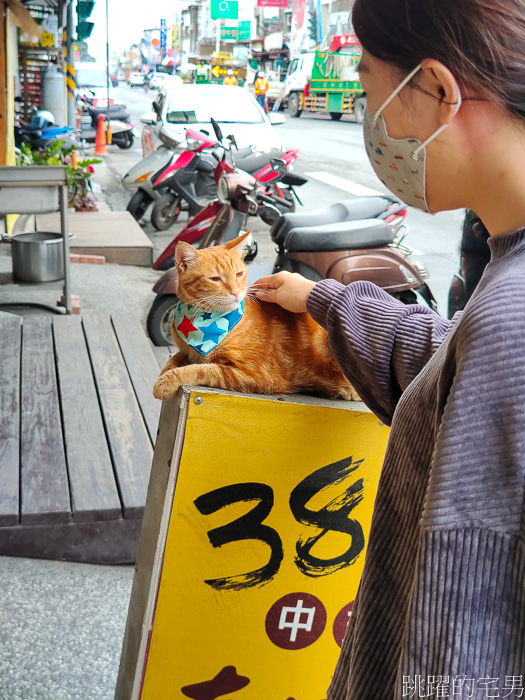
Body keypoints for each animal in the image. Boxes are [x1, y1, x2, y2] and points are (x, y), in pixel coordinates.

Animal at [149, 232, 358, 400]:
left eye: (239, 274)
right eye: (215, 279)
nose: (236, 292)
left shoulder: (255, 375)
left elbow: (202, 369)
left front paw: (167, 381)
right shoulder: (186, 351)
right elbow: (174, 359)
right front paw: (165, 372)